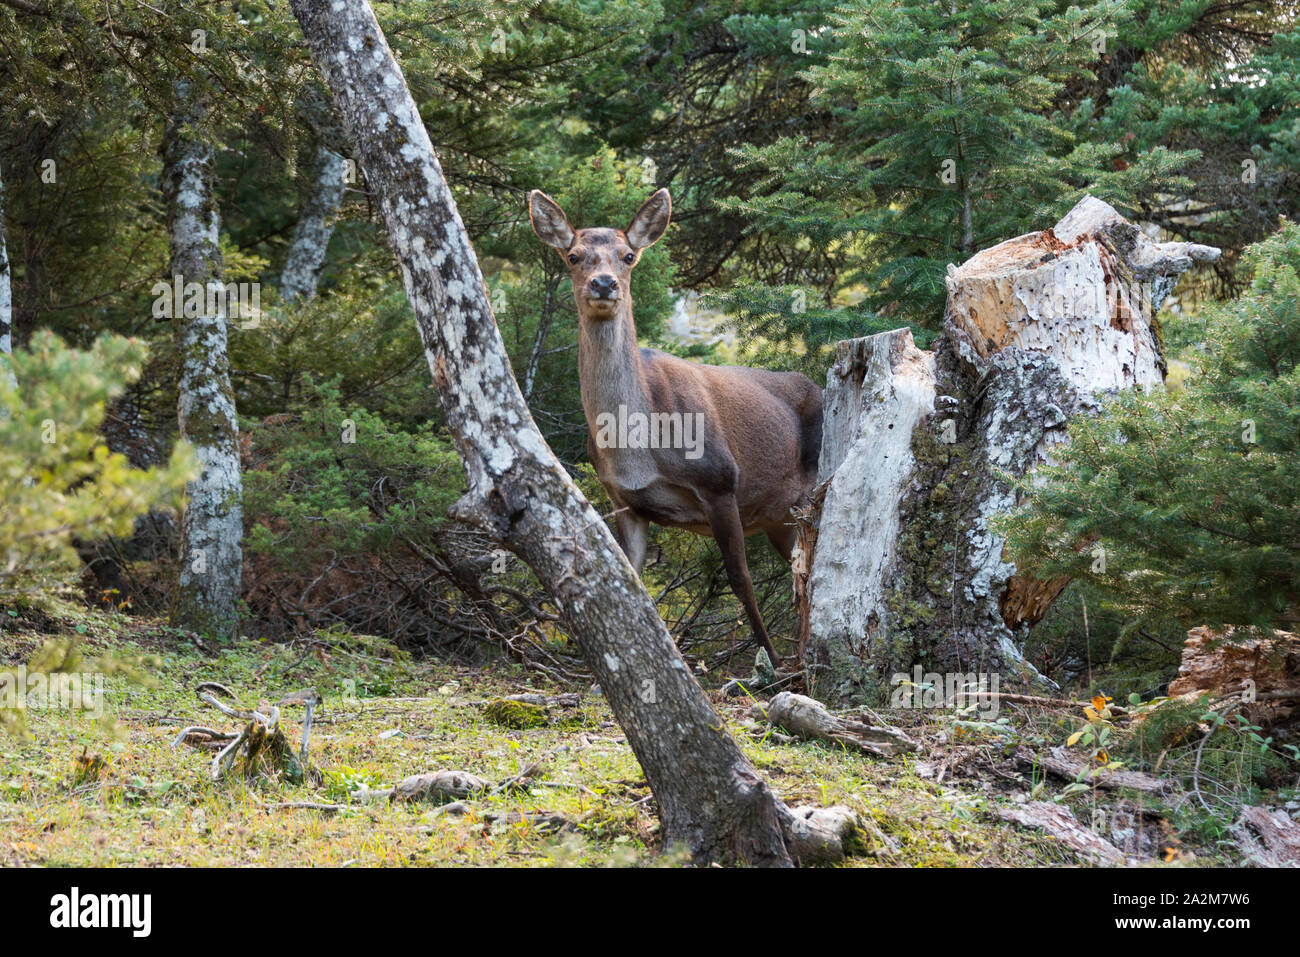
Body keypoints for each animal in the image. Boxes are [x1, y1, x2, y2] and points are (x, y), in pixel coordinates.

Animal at [527, 187, 821, 665]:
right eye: (573, 256)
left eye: (628, 256)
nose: (604, 283)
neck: (636, 447)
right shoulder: (625, 501)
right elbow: (632, 581)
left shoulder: (720, 480)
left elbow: (741, 579)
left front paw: (771, 666)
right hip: (780, 517)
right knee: (801, 570)